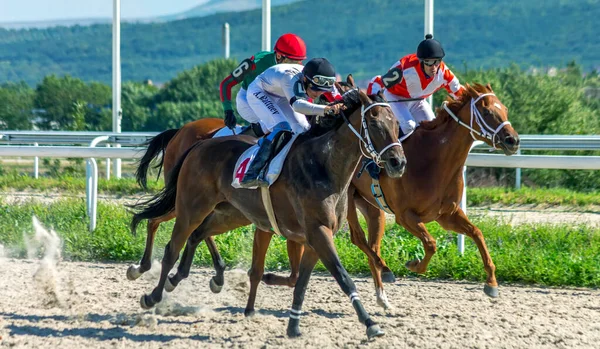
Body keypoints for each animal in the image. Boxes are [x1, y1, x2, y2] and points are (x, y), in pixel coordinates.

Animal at [129, 87, 406, 338]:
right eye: (374, 122)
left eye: (395, 123)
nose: (398, 163)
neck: (324, 166)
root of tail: (199, 144)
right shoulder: (317, 231)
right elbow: (342, 276)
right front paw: (370, 324)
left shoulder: (314, 236)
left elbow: (301, 283)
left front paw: (293, 326)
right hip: (190, 207)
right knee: (170, 246)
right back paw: (152, 293)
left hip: (229, 213)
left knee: (197, 234)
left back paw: (185, 278)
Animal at [346, 82, 520, 308]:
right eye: (487, 112)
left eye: (505, 109)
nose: (513, 140)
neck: (434, 159)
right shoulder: (405, 216)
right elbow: (431, 244)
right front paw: (414, 264)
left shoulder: (447, 215)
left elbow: (477, 233)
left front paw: (491, 282)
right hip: (346, 199)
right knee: (358, 238)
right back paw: (385, 270)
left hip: (372, 207)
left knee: (372, 245)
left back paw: (382, 295)